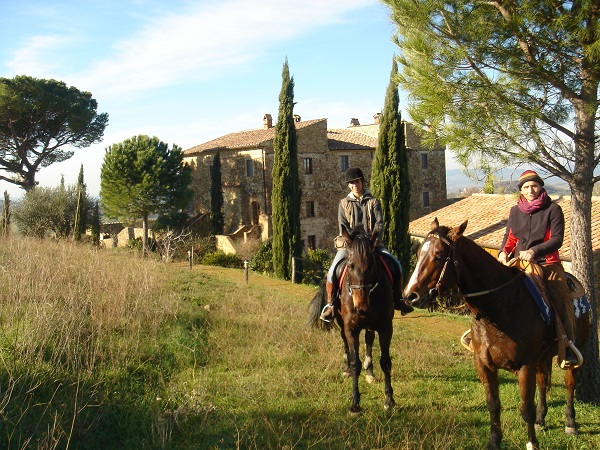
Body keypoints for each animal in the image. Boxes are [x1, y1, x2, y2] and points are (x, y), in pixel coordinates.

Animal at [308, 230, 396, 414]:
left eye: (372, 265)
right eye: (350, 265)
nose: (361, 306)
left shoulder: (386, 328)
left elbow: (385, 362)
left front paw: (389, 400)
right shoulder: (351, 329)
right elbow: (356, 363)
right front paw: (355, 403)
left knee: (369, 340)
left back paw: (369, 372)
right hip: (342, 323)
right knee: (345, 342)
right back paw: (347, 369)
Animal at [404, 220, 592, 450]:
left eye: (438, 256)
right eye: (419, 252)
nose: (410, 295)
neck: (499, 307)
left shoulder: (525, 365)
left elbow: (526, 408)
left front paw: (532, 443)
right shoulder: (484, 365)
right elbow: (493, 404)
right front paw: (495, 441)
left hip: (573, 349)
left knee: (569, 382)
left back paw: (570, 423)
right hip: (542, 357)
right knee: (542, 382)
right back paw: (541, 420)